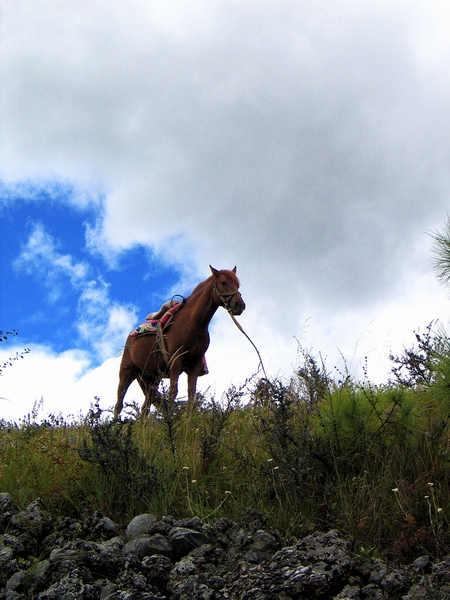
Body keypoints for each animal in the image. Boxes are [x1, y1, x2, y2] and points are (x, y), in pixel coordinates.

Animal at [114, 268, 244, 418]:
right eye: (223, 282)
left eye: (237, 285)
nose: (240, 305)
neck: (194, 323)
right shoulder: (176, 361)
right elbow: (173, 392)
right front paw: (171, 420)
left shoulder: (195, 365)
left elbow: (191, 394)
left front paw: (188, 422)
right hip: (127, 371)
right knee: (119, 403)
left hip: (151, 378)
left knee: (145, 406)